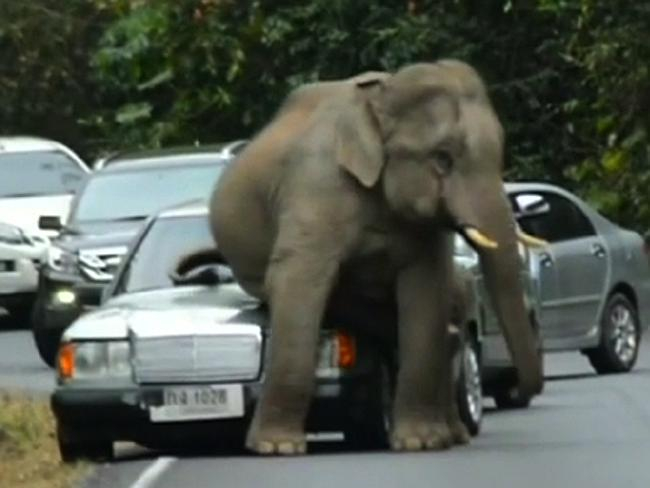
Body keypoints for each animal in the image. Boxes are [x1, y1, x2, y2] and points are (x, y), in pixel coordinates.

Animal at [208, 60, 540, 454]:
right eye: (442, 158)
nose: (519, 390)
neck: (381, 100)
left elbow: (425, 289)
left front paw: (420, 442)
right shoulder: (317, 187)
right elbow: (299, 280)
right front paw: (278, 448)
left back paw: (453, 433)